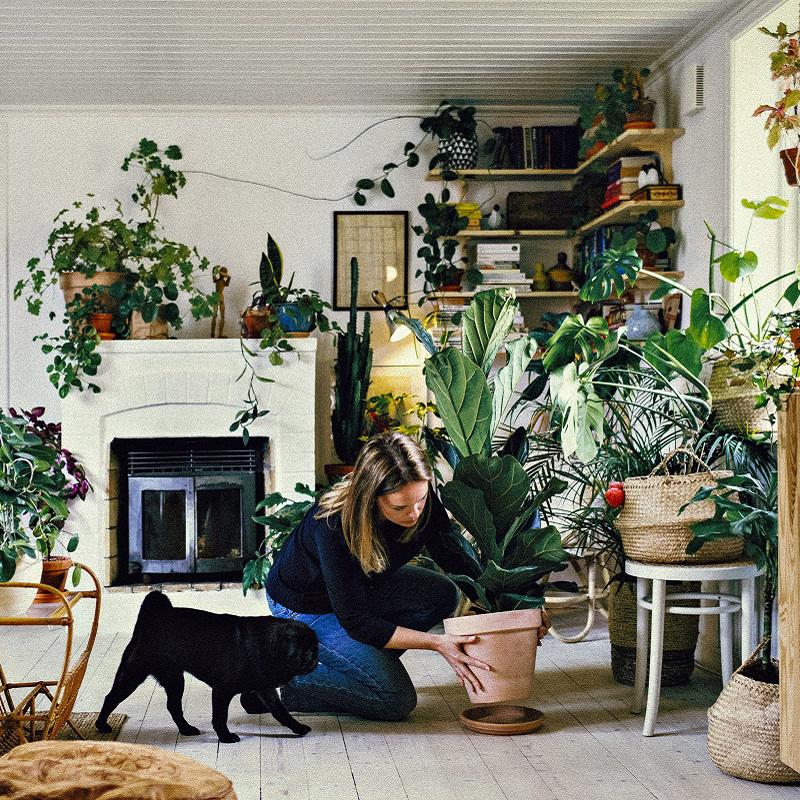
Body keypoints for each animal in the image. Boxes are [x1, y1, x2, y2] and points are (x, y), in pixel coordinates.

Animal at [95, 588, 318, 744]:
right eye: (303, 652)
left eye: (315, 649)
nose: (314, 658)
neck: (267, 646)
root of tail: (152, 619)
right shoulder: (222, 691)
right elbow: (220, 716)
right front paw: (226, 737)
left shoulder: (266, 689)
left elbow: (280, 711)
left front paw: (297, 728)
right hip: (133, 674)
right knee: (111, 698)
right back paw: (101, 724)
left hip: (175, 679)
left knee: (173, 706)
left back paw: (186, 729)